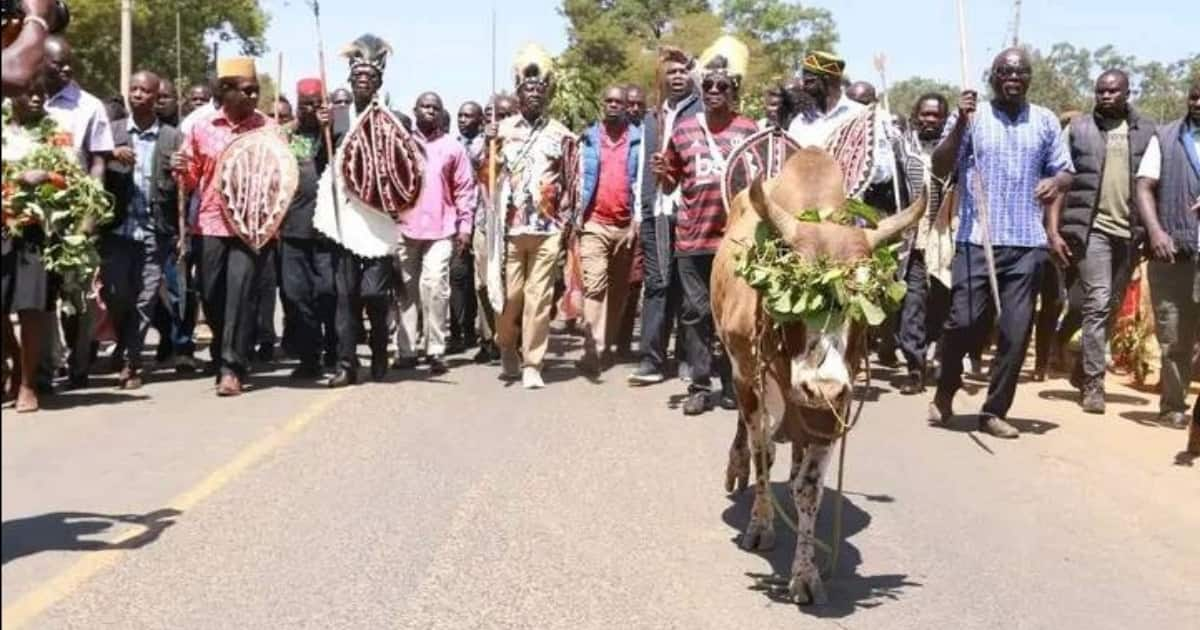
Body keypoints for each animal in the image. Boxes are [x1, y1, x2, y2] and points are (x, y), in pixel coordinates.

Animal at [710, 147, 926, 604]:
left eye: (862, 302)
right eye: (796, 295)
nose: (819, 386)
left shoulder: (835, 403)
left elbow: (809, 486)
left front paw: (805, 573)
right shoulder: (748, 379)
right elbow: (760, 452)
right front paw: (760, 526)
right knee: (751, 435)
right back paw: (739, 466)